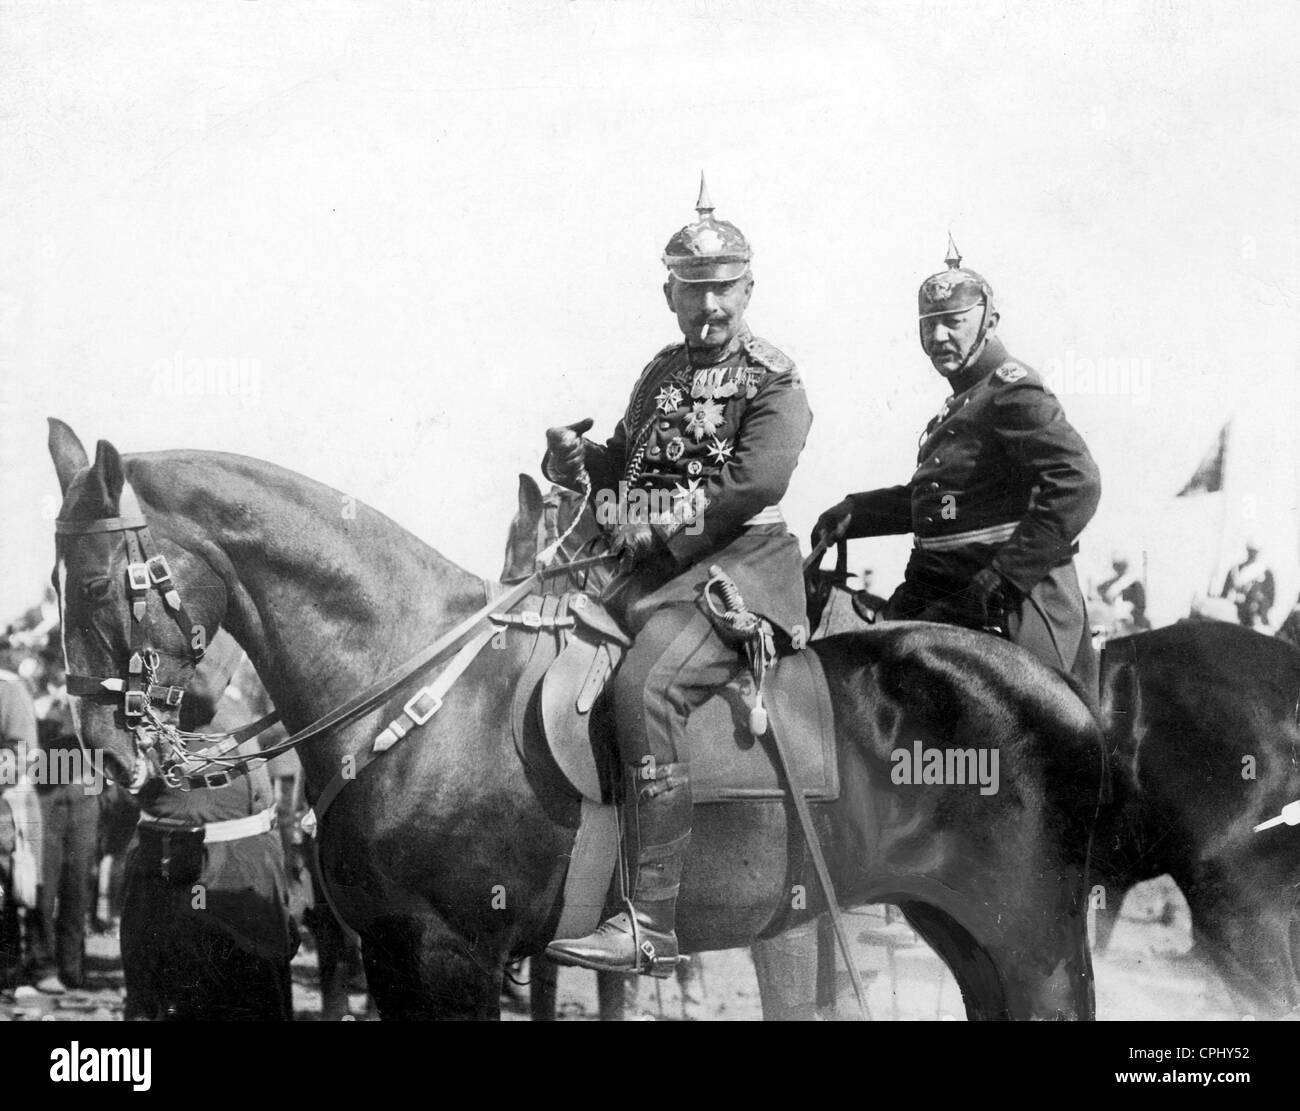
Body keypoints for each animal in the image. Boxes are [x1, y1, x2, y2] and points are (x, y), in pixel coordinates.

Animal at [50, 421, 1107, 1018]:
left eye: (97, 582)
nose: (103, 748)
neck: (411, 687)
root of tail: (1058, 687)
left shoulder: (452, 955)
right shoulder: (394, 951)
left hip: (1032, 937)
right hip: (961, 926)